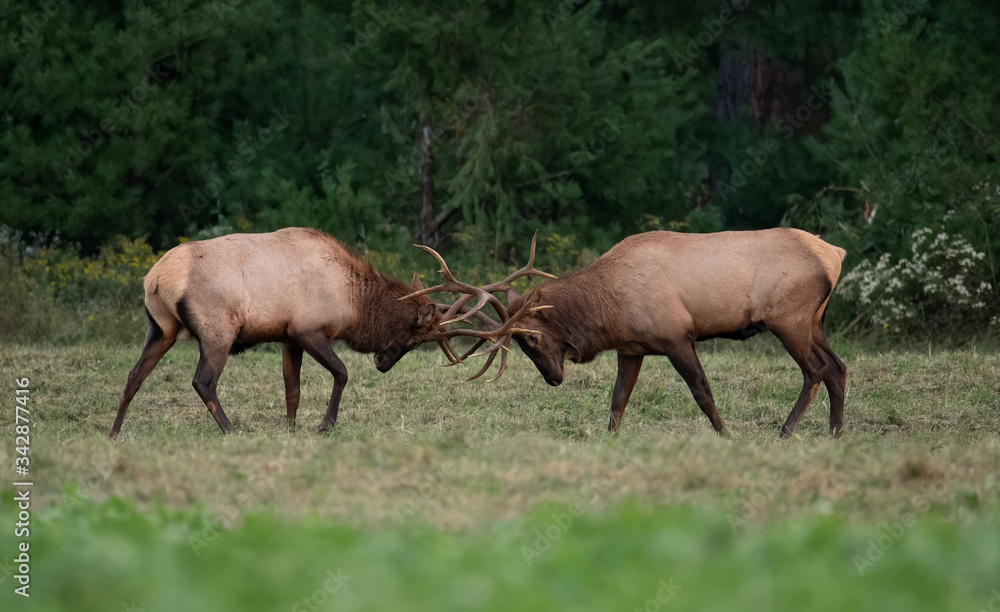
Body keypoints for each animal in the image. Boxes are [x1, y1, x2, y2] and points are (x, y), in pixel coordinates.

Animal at [408, 229, 848, 438]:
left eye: (530, 337)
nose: (554, 378)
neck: (609, 311)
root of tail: (835, 254)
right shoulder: (632, 348)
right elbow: (618, 401)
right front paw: (610, 439)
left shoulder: (676, 336)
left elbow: (702, 392)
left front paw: (727, 435)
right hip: (814, 320)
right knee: (838, 368)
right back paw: (835, 433)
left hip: (789, 317)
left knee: (815, 369)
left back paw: (786, 432)